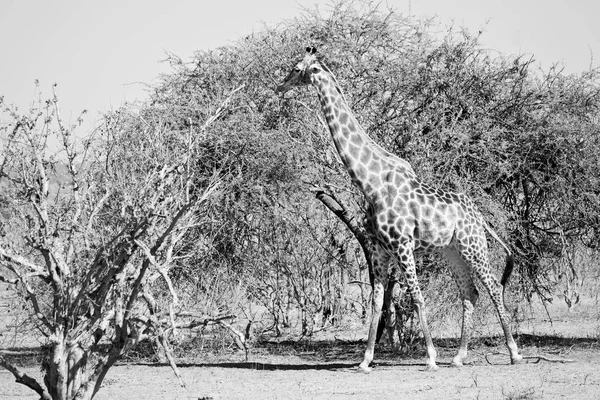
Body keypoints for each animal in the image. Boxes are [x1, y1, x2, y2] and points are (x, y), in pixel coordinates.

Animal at [276, 47, 520, 372]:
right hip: (452, 250)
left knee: (493, 286)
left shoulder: (403, 245)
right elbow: (377, 301)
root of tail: (479, 216)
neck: (371, 183)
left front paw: (430, 357)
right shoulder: (379, 247)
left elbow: (417, 297)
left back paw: (514, 352)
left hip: (473, 245)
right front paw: (365, 360)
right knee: (470, 292)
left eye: (296, 68)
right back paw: (458, 357)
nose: (279, 87)